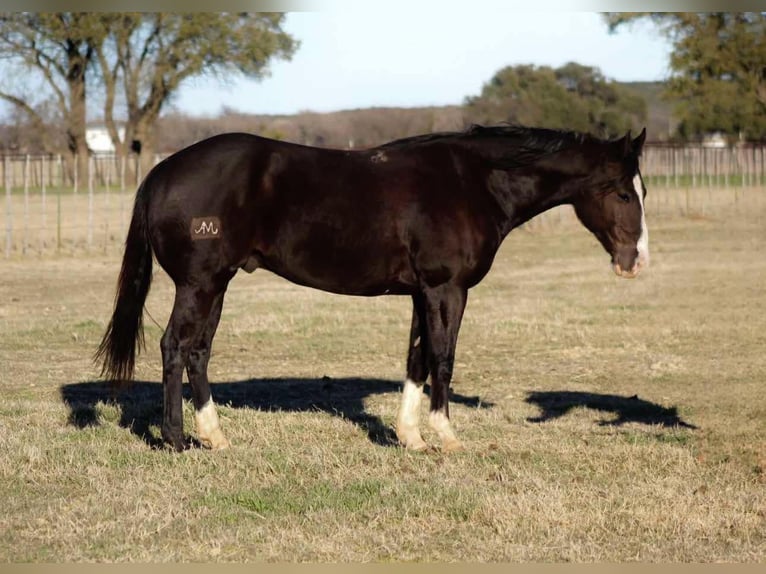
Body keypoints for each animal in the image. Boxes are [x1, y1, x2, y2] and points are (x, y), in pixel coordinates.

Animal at [95, 124, 649, 452]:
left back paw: (215, 436)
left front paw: (411, 437)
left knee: (198, 351)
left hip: (217, 284)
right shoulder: (446, 290)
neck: (471, 182)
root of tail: (161, 172)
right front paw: (446, 436)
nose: (636, 261)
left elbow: (416, 359)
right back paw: (176, 440)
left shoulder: (421, 293)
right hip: (199, 284)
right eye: (624, 193)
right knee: (174, 347)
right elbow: (443, 358)